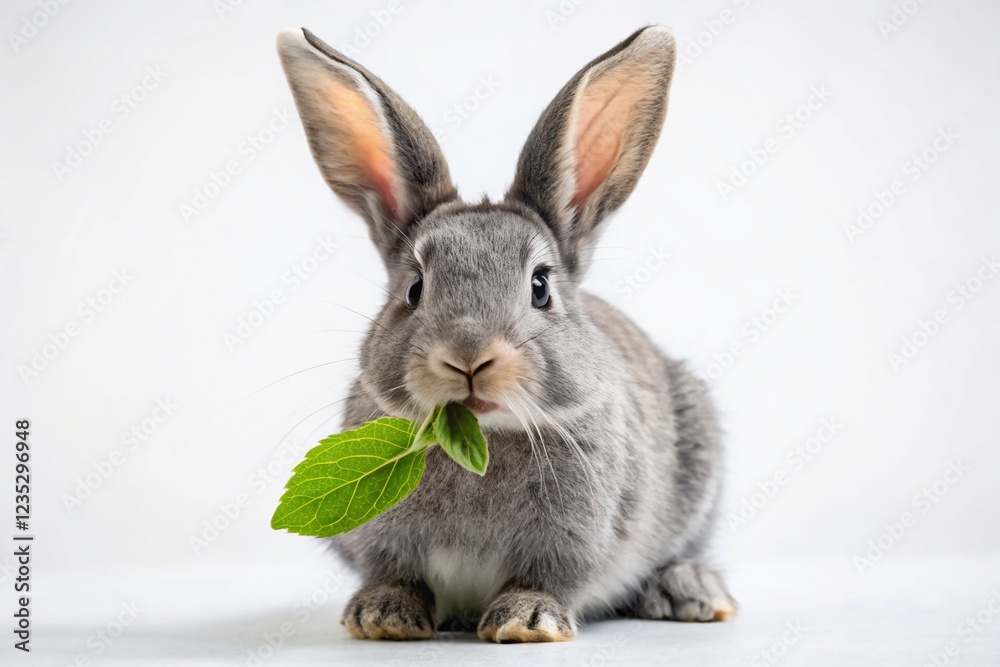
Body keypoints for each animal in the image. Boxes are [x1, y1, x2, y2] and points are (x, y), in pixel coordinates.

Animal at [276, 25, 737, 643]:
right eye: (414, 288)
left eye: (540, 286)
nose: (468, 357)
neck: (485, 435)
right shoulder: (380, 538)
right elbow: (395, 572)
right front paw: (382, 617)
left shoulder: (576, 537)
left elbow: (547, 578)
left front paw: (526, 622)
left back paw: (689, 591)